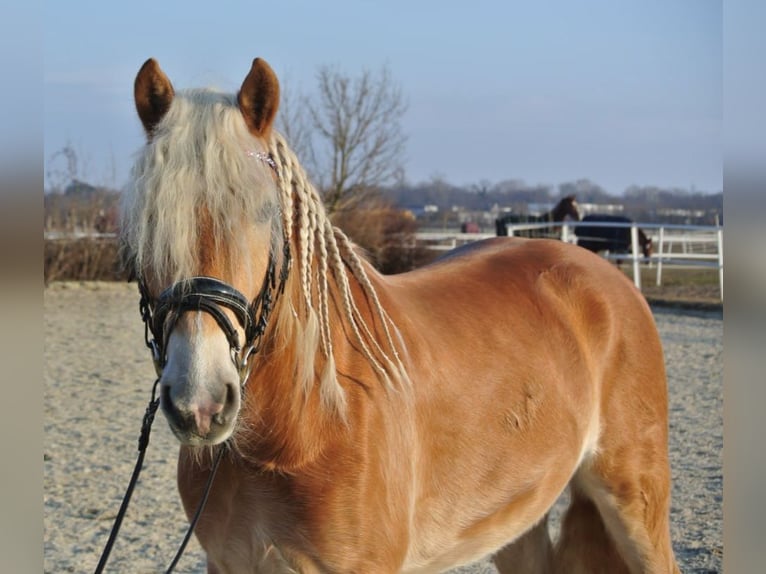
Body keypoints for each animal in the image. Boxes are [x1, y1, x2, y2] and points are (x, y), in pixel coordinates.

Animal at [123, 55, 680, 574]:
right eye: (147, 222)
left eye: (264, 213)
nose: (200, 403)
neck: (310, 417)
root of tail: (604, 276)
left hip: (636, 500)